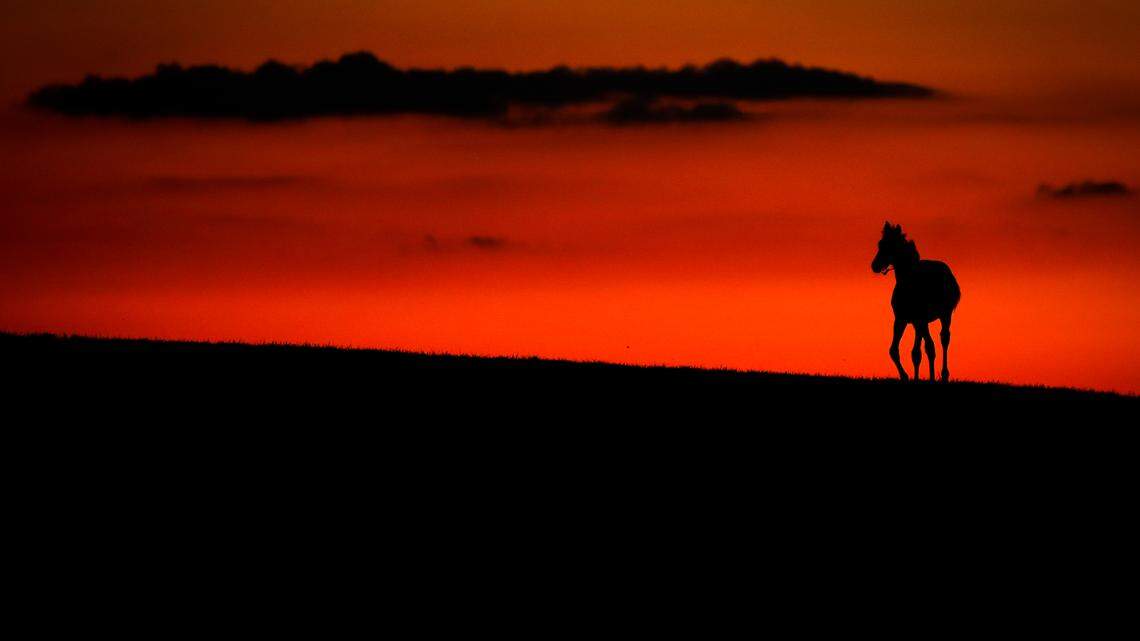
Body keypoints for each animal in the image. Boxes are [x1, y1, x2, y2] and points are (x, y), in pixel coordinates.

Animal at [871, 222, 961, 381]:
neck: (908, 283)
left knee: (943, 339)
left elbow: (929, 348)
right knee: (920, 349)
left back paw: (944, 374)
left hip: (945, 315)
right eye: (880, 244)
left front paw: (930, 378)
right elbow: (896, 350)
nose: (874, 265)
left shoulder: (921, 320)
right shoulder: (902, 319)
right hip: (918, 323)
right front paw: (908, 377)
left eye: (890, 245)